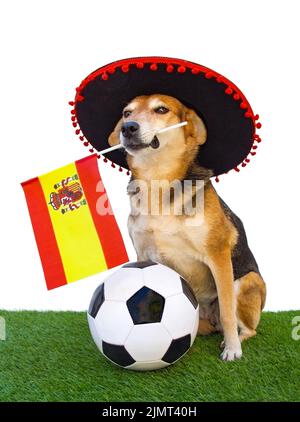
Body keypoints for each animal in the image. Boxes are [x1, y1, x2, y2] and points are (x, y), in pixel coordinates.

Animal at [108, 94, 268, 362]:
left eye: (161, 109)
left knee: (246, 327)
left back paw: (232, 339)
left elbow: (226, 310)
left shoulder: (218, 255)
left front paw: (232, 350)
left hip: (248, 280)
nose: (127, 128)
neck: (157, 180)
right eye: (126, 113)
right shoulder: (142, 254)